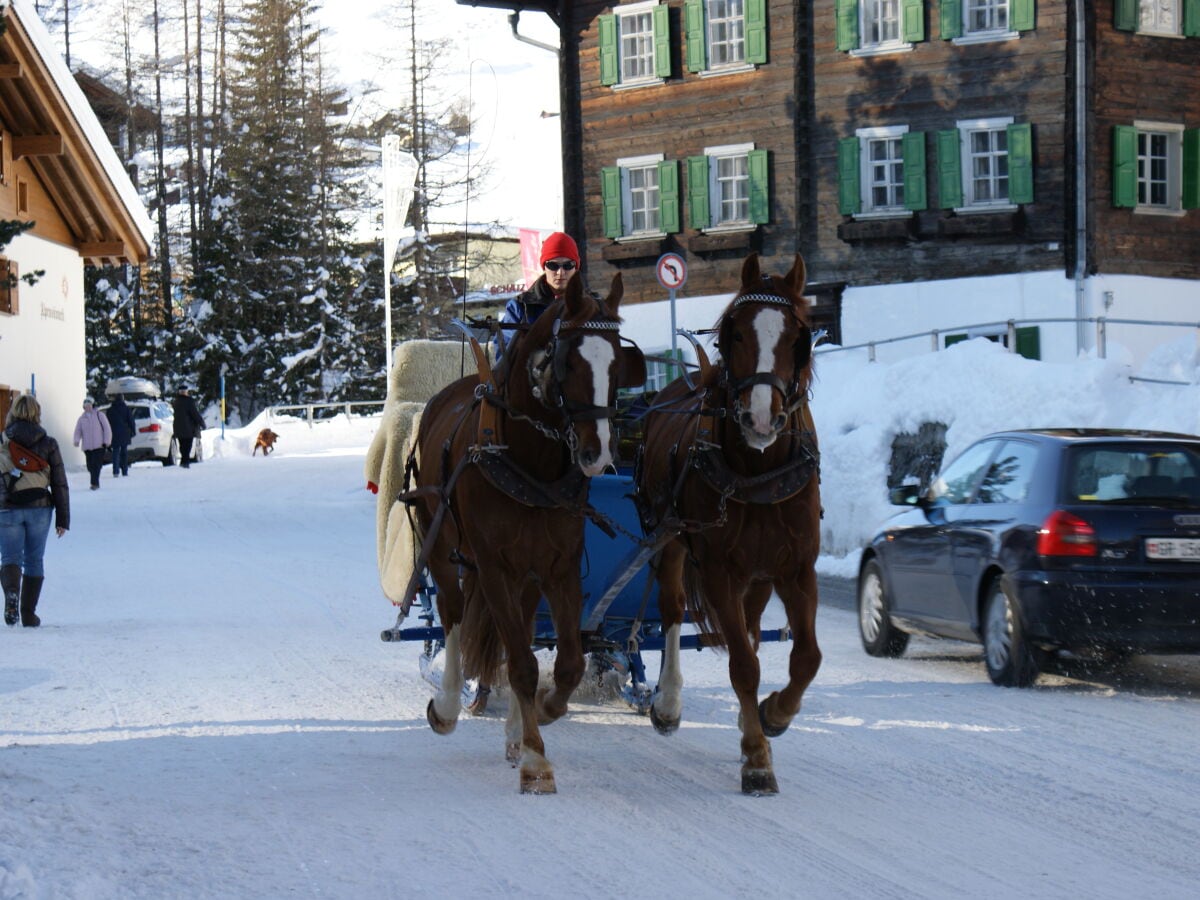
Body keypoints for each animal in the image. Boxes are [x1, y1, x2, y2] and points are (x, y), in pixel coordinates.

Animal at [403, 271, 648, 792]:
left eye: (619, 362)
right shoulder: (494, 566)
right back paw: (449, 707)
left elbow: (567, 663)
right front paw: (537, 759)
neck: (529, 460)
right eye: (568, 361)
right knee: (452, 616)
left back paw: (517, 730)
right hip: (443, 545)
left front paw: (543, 715)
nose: (598, 454)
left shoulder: (559, 568)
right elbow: (519, 662)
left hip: (526, 575)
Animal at [638, 254, 825, 796]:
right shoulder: (719, 570)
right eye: (733, 333)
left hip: (758, 575)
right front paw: (758, 761)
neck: (759, 471)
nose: (761, 419)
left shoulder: (797, 569)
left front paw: (772, 717)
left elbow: (805, 657)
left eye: (799, 336)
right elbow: (743, 664)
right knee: (673, 609)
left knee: (754, 626)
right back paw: (668, 704)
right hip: (670, 540)